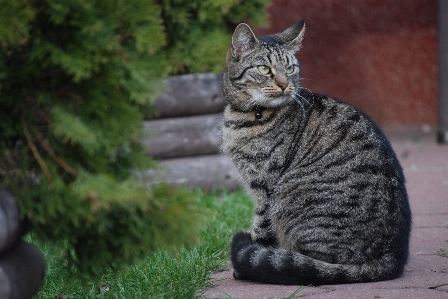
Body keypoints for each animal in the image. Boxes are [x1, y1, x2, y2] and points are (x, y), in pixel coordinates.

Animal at [220, 21, 412, 286]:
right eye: (264, 69)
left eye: (290, 68)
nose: (284, 84)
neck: (245, 116)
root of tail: (391, 258)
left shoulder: (265, 187)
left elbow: (261, 229)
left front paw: (247, 264)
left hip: (289, 197)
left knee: (310, 265)